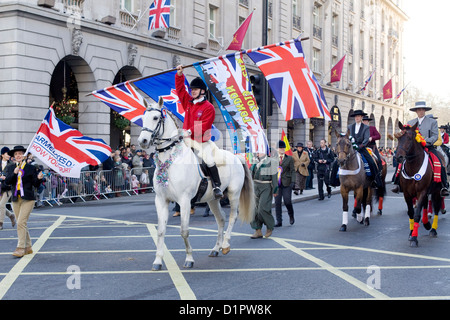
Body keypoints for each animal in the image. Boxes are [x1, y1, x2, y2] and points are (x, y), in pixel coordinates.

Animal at [137, 97, 255, 270]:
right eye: (143, 118)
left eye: (155, 118)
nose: (143, 141)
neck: (172, 160)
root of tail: (236, 156)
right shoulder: (161, 200)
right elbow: (160, 231)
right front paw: (158, 261)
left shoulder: (185, 200)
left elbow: (184, 231)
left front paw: (189, 259)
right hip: (212, 199)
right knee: (221, 219)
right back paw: (215, 248)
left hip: (234, 194)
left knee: (233, 216)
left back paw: (225, 245)